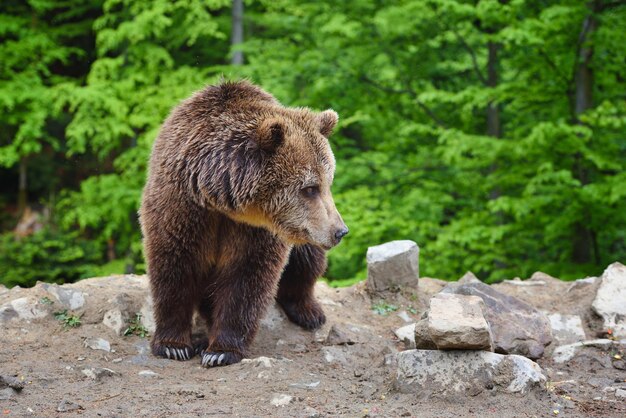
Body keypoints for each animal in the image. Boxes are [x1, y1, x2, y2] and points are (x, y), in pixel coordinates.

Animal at [139, 80, 346, 368]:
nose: (340, 231)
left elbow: (246, 278)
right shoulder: (182, 205)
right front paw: (173, 345)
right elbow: (174, 265)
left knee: (306, 260)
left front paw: (220, 350)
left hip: (301, 237)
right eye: (310, 188)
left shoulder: (255, 230)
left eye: (328, 182)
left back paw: (308, 311)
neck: (218, 199)